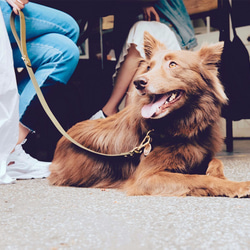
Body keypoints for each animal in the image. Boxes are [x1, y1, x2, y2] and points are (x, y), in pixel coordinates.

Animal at [48, 31, 250, 197]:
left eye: (173, 64)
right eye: (148, 67)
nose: (138, 82)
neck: (185, 125)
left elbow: (216, 161)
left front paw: (220, 176)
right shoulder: (146, 177)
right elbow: (199, 179)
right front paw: (237, 186)